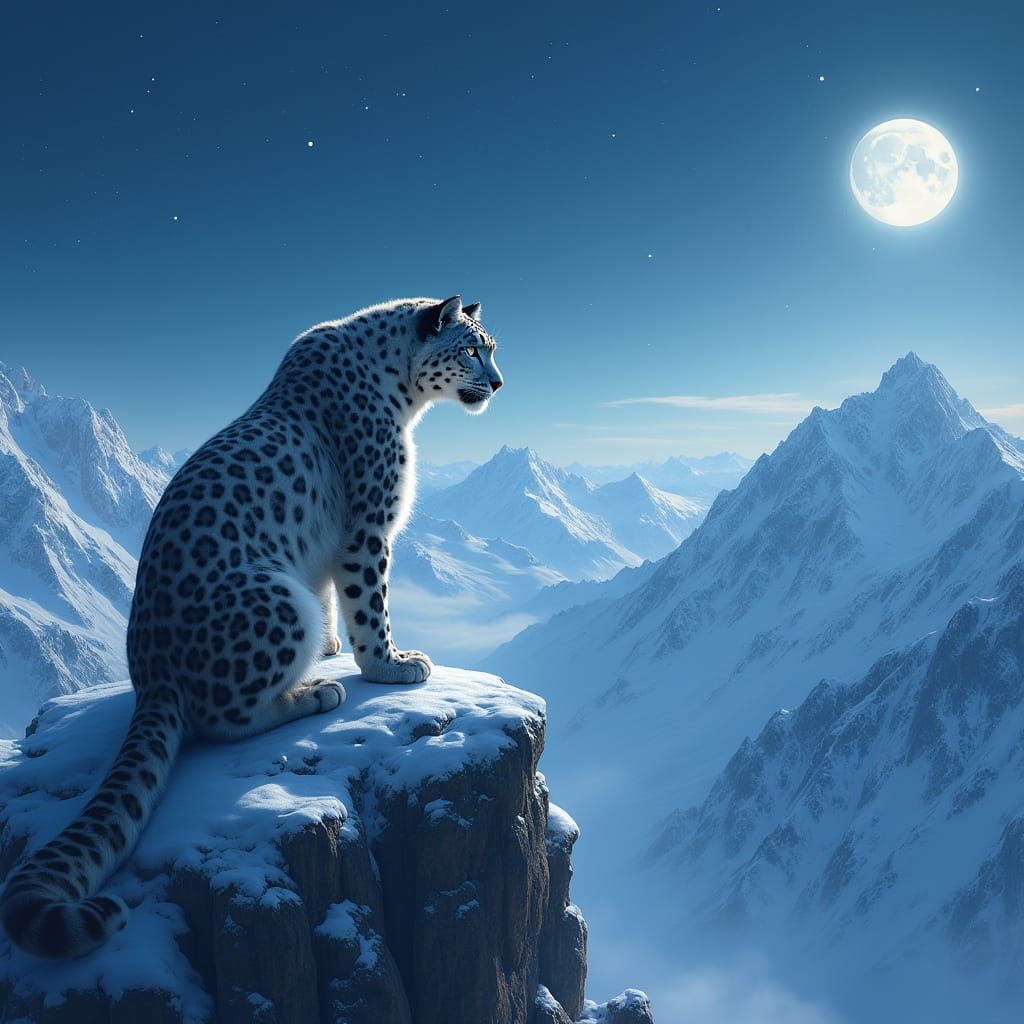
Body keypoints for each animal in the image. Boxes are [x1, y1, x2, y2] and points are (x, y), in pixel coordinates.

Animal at [0, 294, 503, 958]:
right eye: (471, 349)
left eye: (491, 347)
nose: (498, 383)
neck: (405, 399)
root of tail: (151, 675)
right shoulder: (368, 527)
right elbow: (370, 602)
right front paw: (391, 665)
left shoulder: (327, 552)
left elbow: (335, 597)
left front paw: (338, 646)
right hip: (277, 599)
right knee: (223, 719)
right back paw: (315, 693)